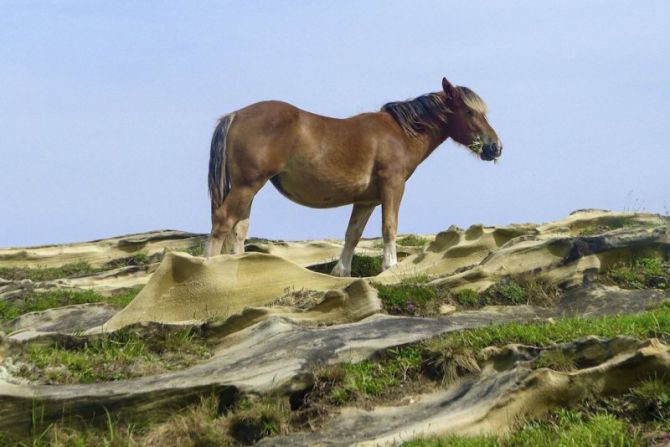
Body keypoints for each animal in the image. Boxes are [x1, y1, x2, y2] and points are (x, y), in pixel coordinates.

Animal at [207, 78, 502, 276]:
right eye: (470, 111)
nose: (496, 147)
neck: (401, 133)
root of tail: (235, 115)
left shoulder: (365, 201)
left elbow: (353, 234)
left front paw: (342, 272)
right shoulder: (392, 187)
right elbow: (389, 227)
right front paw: (390, 267)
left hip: (249, 188)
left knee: (238, 230)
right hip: (247, 185)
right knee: (223, 222)